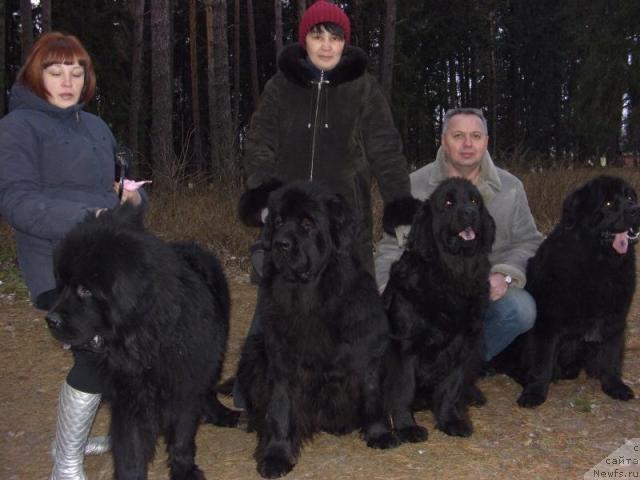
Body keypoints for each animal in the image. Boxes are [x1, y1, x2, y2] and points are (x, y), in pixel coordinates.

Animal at [45, 204, 239, 478]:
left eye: (85, 290)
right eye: (62, 286)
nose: (50, 320)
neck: (145, 343)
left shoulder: (185, 386)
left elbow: (182, 437)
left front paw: (184, 470)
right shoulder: (129, 401)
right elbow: (130, 451)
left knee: (208, 387)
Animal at [235, 182, 396, 478]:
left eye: (308, 223)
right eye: (278, 221)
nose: (280, 244)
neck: (309, 296)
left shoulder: (366, 346)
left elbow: (371, 392)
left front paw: (379, 434)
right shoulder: (282, 359)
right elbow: (280, 407)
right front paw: (276, 455)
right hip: (253, 350)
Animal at [498, 174, 640, 406]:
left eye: (630, 197)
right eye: (608, 204)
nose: (636, 209)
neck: (600, 263)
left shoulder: (614, 318)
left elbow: (611, 355)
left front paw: (614, 386)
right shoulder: (547, 323)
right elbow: (542, 361)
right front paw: (534, 393)